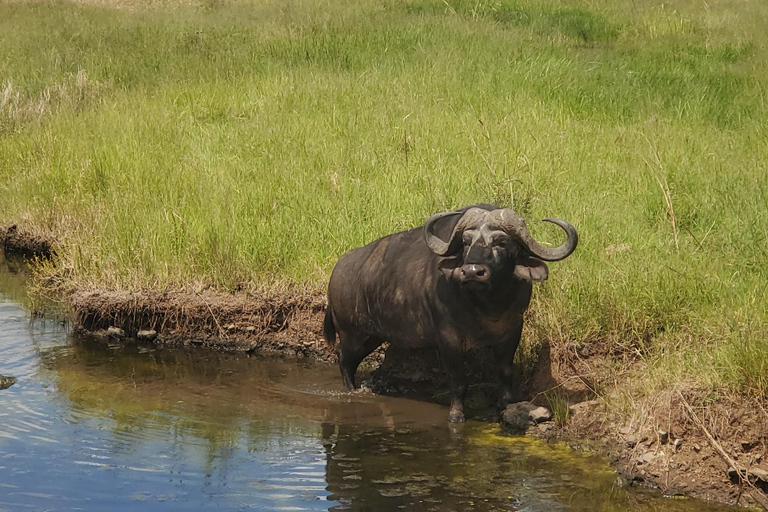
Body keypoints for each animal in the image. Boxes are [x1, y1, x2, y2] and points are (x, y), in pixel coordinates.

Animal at [320, 205, 580, 424]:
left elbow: (505, 372)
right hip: (352, 333)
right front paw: (456, 414)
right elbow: (458, 380)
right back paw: (351, 390)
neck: (487, 306)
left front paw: (506, 404)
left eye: (501, 242)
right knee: (344, 359)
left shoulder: (513, 330)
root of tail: (339, 270)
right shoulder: (448, 340)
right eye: (466, 242)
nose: (472, 271)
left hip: (373, 336)